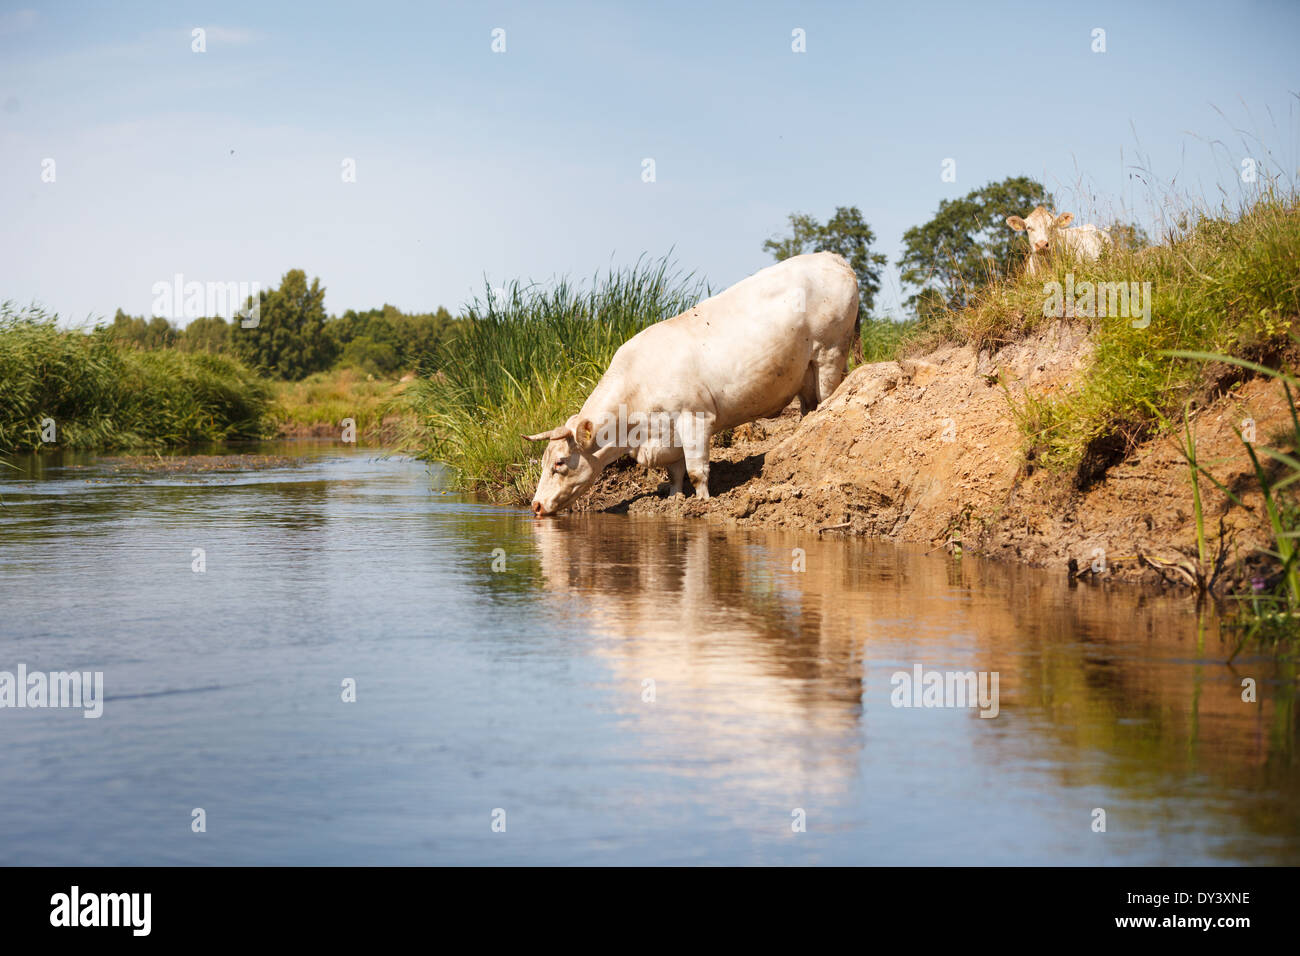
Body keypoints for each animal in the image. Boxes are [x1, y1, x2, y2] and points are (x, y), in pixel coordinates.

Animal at [524, 251, 859, 516]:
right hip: (805, 374)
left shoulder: (695, 417)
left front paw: (702, 503)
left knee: (828, 399)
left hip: (830, 352)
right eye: (543, 462)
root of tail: (831, 257)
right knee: (808, 408)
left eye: (560, 462)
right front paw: (675, 500)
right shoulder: (667, 435)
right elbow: (676, 473)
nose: (536, 506)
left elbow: (697, 471)